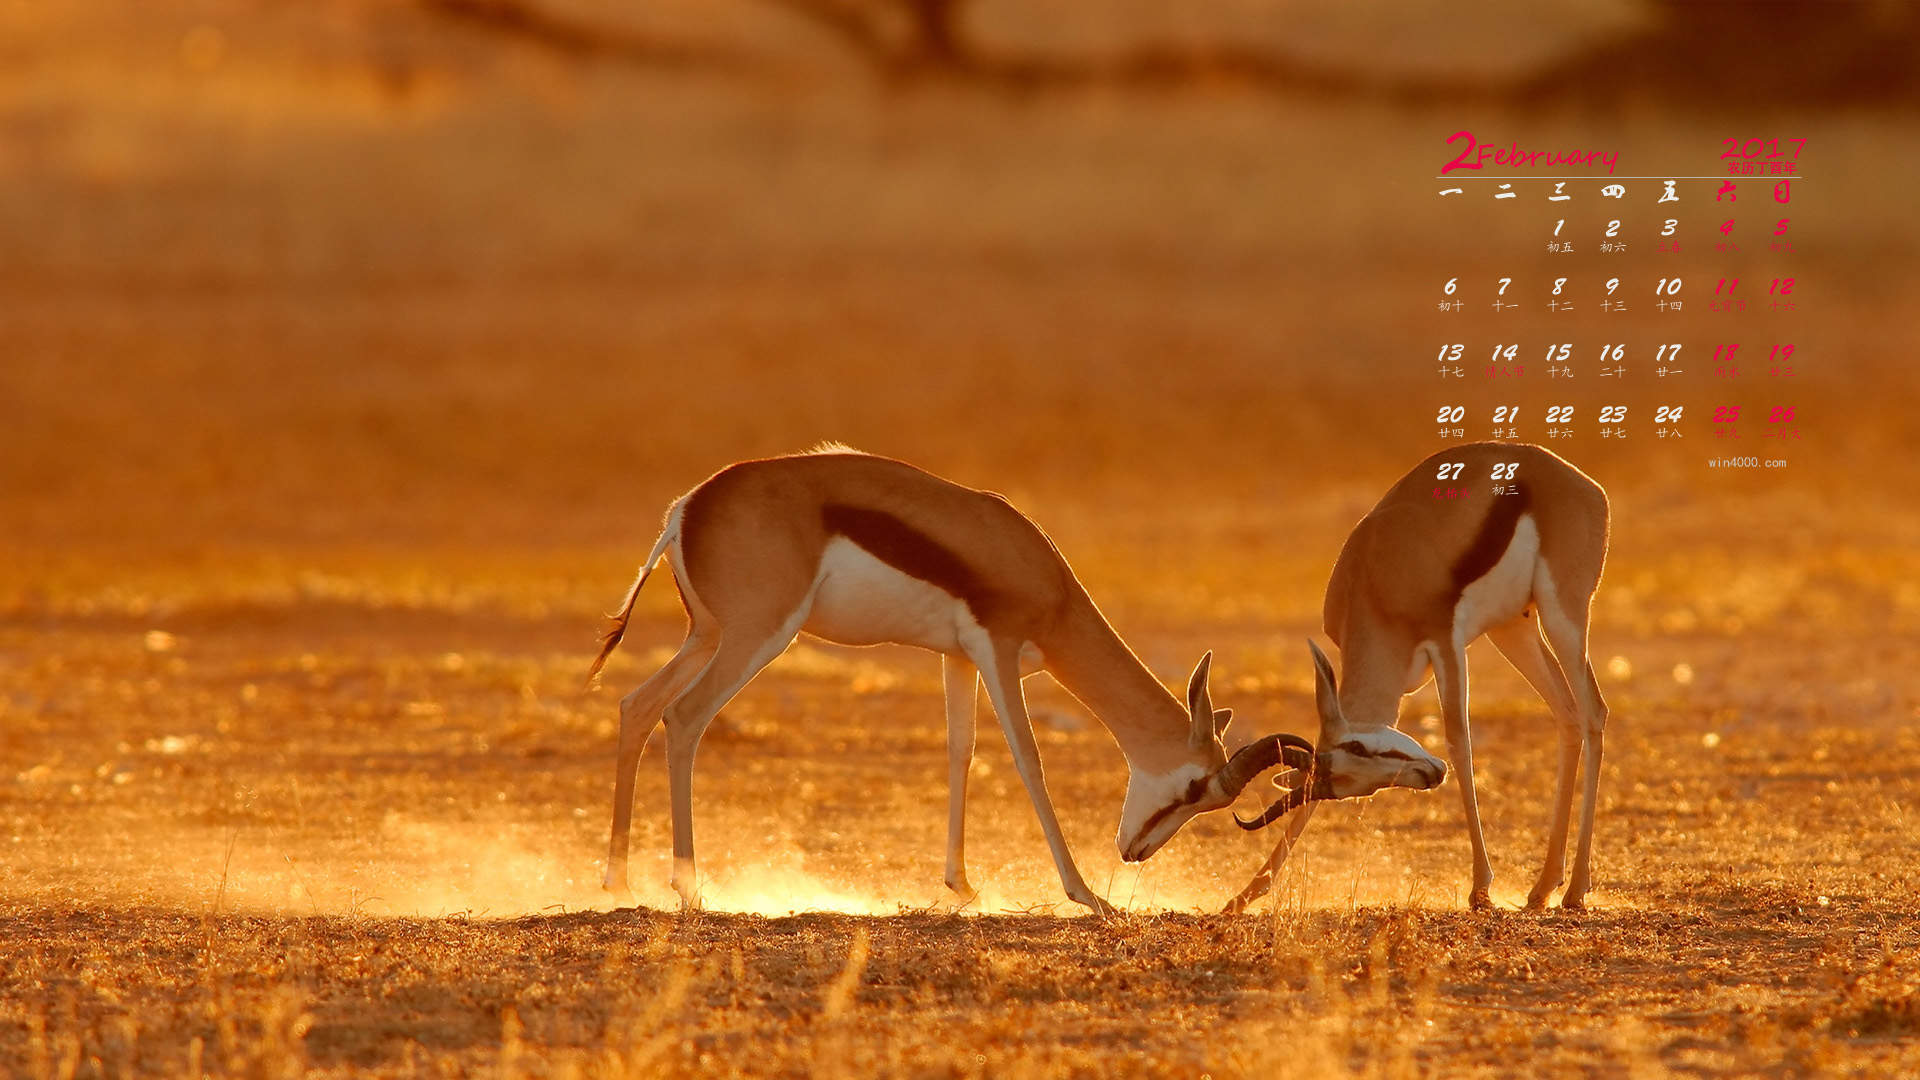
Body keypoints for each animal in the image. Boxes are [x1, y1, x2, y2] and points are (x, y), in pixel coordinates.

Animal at [585, 446, 1311, 914]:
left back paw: (619, 881)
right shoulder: (998, 648)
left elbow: (961, 751)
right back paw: (688, 888)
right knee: (685, 717)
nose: (1134, 853)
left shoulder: (957, 657)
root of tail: (686, 510)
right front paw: (1088, 897)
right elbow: (1027, 759)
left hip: (707, 636)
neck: (1035, 571)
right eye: (1192, 788)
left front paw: (961, 886)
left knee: (636, 706)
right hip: (756, 637)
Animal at [1222, 442, 1610, 914]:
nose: (1430, 774)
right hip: (1513, 627)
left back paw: (1574, 891)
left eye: (1361, 747)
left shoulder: (1445, 642)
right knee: (1567, 715)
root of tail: (1571, 476)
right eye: (1355, 788)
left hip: (1562, 614)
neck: (1376, 574)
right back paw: (1542, 888)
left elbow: (1460, 743)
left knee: (1593, 712)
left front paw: (1481, 890)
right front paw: (1243, 895)